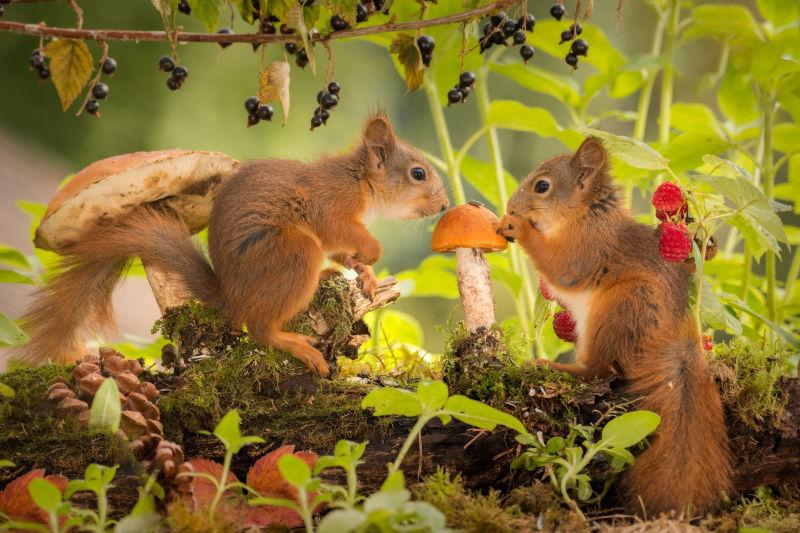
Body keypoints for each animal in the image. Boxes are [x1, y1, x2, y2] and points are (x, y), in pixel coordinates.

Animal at [14, 114, 450, 376]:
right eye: (418, 173)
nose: (445, 205)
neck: (359, 181)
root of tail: (232, 297)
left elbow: (345, 251)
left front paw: (367, 275)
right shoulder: (329, 206)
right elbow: (344, 234)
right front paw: (372, 255)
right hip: (292, 254)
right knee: (259, 328)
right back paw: (298, 346)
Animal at [496, 137, 736, 516]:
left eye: (542, 186)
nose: (511, 207)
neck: (584, 214)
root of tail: (674, 336)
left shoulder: (587, 247)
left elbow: (561, 267)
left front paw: (516, 227)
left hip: (620, 310)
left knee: (598, 370)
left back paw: (553, 367)